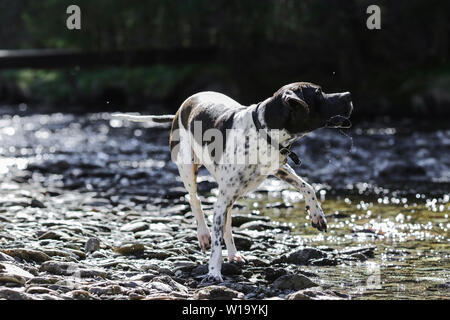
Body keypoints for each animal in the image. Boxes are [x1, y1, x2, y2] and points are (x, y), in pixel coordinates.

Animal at [112, 82, 352, 282]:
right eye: (319, 93)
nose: (349, 95)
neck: (263, 130)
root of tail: (183, 105)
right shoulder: (222, 199)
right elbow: (216, 244)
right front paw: (213, 273)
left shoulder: (279, 168)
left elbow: (308, 186)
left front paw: (317, 214)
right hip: (188, 167)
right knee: (194, 200)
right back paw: (203, 235)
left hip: (230, 193)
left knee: (226, 223)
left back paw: (234, 254)